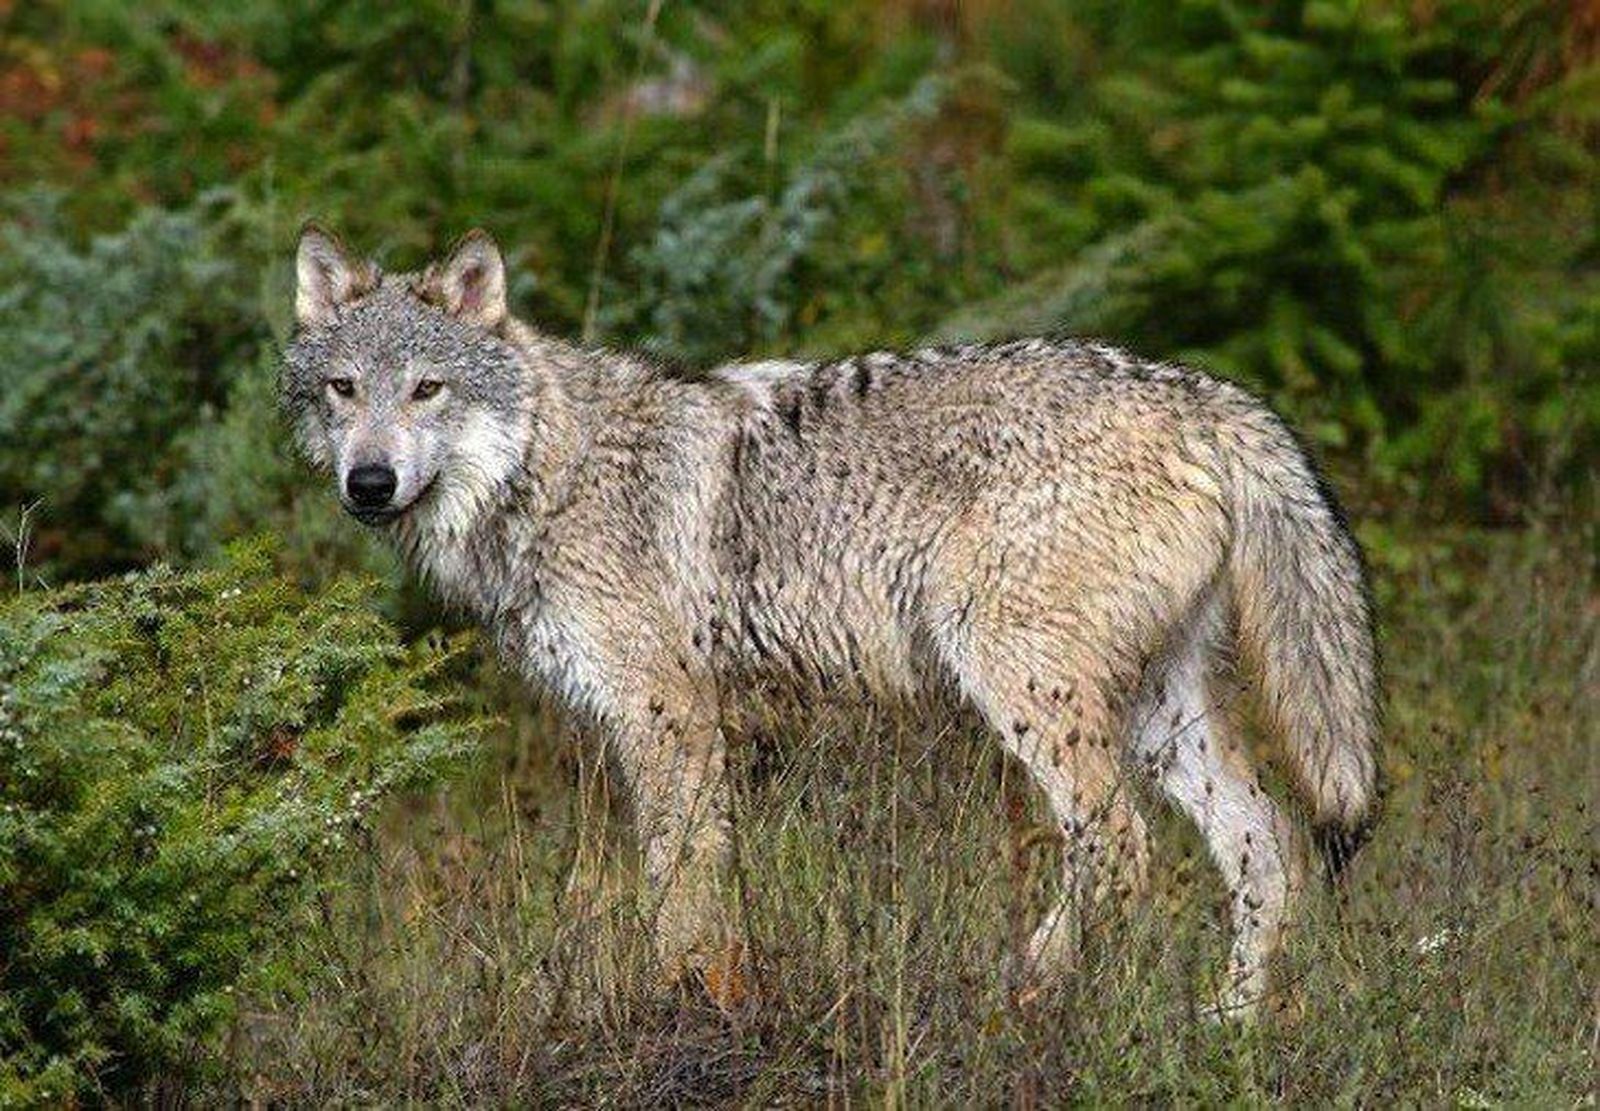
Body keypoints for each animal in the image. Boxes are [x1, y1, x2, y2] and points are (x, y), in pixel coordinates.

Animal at [282, 225, 1379, 1018]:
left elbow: (679, 889)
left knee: (1120, 848)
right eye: (345, 390)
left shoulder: (668, 715)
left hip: (1022, 685)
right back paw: (1226, 1031)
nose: (369, 482)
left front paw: (688, 1006)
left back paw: (1030, 985)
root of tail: (1205, 394)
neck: (546, 469)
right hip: (1159, 717)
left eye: (428, 389)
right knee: (1270, 850)